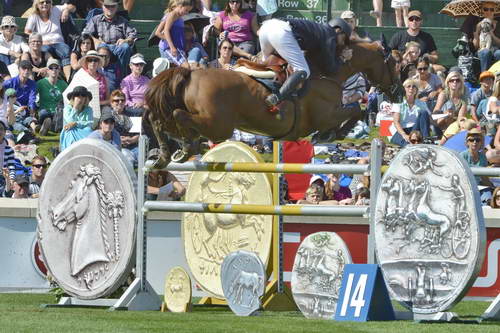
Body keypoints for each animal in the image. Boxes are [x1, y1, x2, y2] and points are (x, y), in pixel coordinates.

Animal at [143, 41, 400, 166]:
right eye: (394, 63)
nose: (397, 91)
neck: (328, 73)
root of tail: (189, 72)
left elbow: (355, 110)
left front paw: (329, 135)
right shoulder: (326, 114)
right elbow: (356, 110)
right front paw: (331, 135)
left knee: (159, 119)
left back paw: (167, 154)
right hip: (219, 126)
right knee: (177, 116)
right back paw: (186, 146)